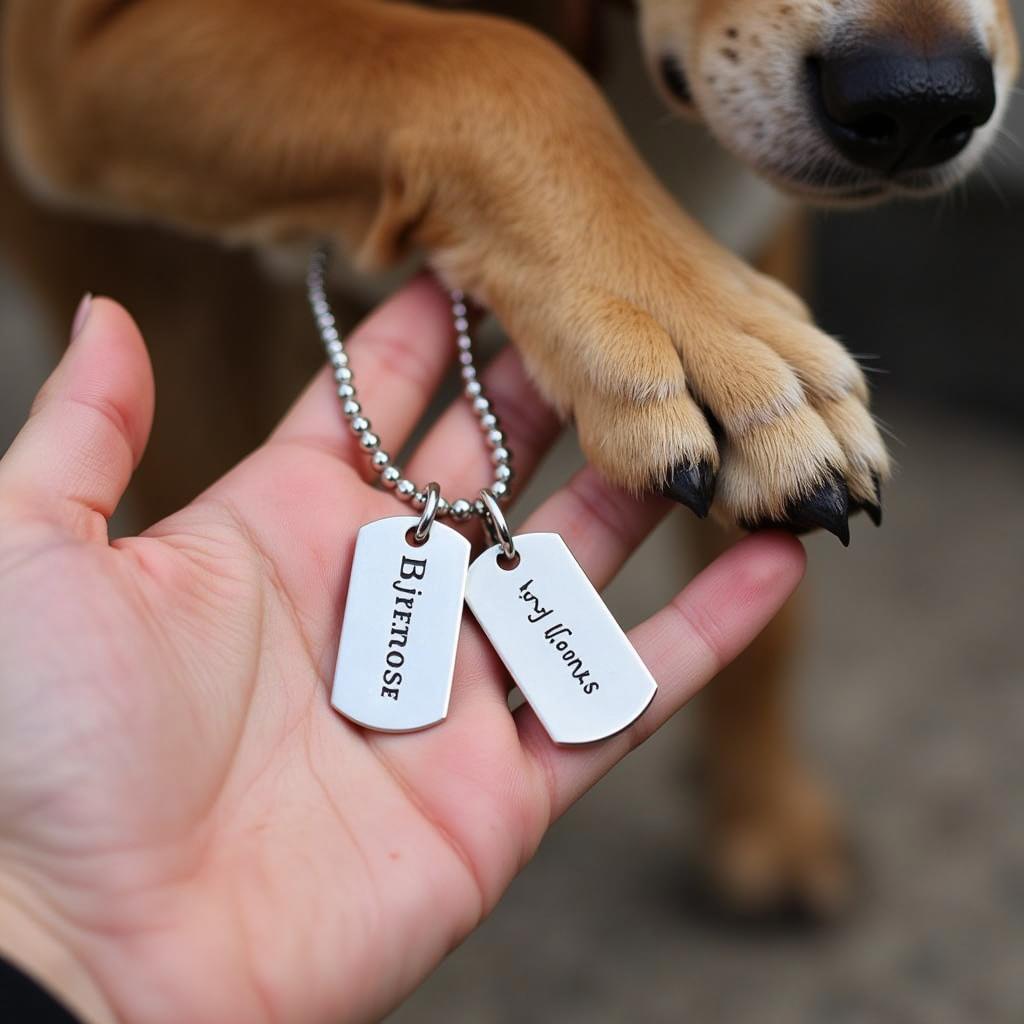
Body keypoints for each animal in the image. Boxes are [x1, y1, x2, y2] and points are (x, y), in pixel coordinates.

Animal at [0, 0, 1015, 913]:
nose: (922, 104)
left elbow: (771, 612)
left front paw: (764, 817)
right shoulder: (80, 61)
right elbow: (491, 59)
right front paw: (693, 318)